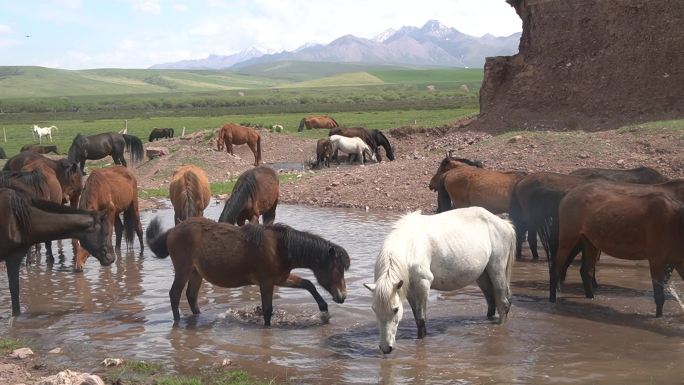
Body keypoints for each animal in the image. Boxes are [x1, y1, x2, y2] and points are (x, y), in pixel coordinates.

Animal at [143, 216, 348, 324]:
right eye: (337, 269)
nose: (343, 296)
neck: (279, 247)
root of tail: (172, 231)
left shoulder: (281, 279)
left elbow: (308, 284)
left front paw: (323, 309)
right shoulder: (266, 282)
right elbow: (267, 310)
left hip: (196, 273)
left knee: (191, 296)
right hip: (183, 270)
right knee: (175, 295)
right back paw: (177, 322)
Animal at [364, 207, 512, 354]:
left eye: (395, 309)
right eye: (374, 309)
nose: (385, 348)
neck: (411, 246)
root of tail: (504, 224)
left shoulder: (423, 285)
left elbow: (421, 318)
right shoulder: (410, 289)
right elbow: (417, 317)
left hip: (496, 270)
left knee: (503, 302)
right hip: (483, 275)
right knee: (491, 301)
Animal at [552, 182, 684, 316]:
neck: (675, 222)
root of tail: (569, 193)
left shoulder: (679, 262)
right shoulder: (656, 260)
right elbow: (659, 296)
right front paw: (658, 317)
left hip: (590, 242)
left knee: (586, 271)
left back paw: (591, 298)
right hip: (568, 239)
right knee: (556, 269)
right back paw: (553, 300)